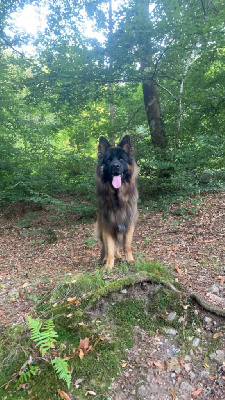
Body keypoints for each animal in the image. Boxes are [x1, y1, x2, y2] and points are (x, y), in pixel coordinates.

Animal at [95, 136, 138, 270]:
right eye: (109, 160)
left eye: (121, 159)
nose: (115, 166)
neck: (117, 197)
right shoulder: (108, 226)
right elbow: (109, 248)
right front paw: (108, 265)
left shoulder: (128, 224)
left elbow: (127, 246)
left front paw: (130, 260)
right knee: (106, 246)